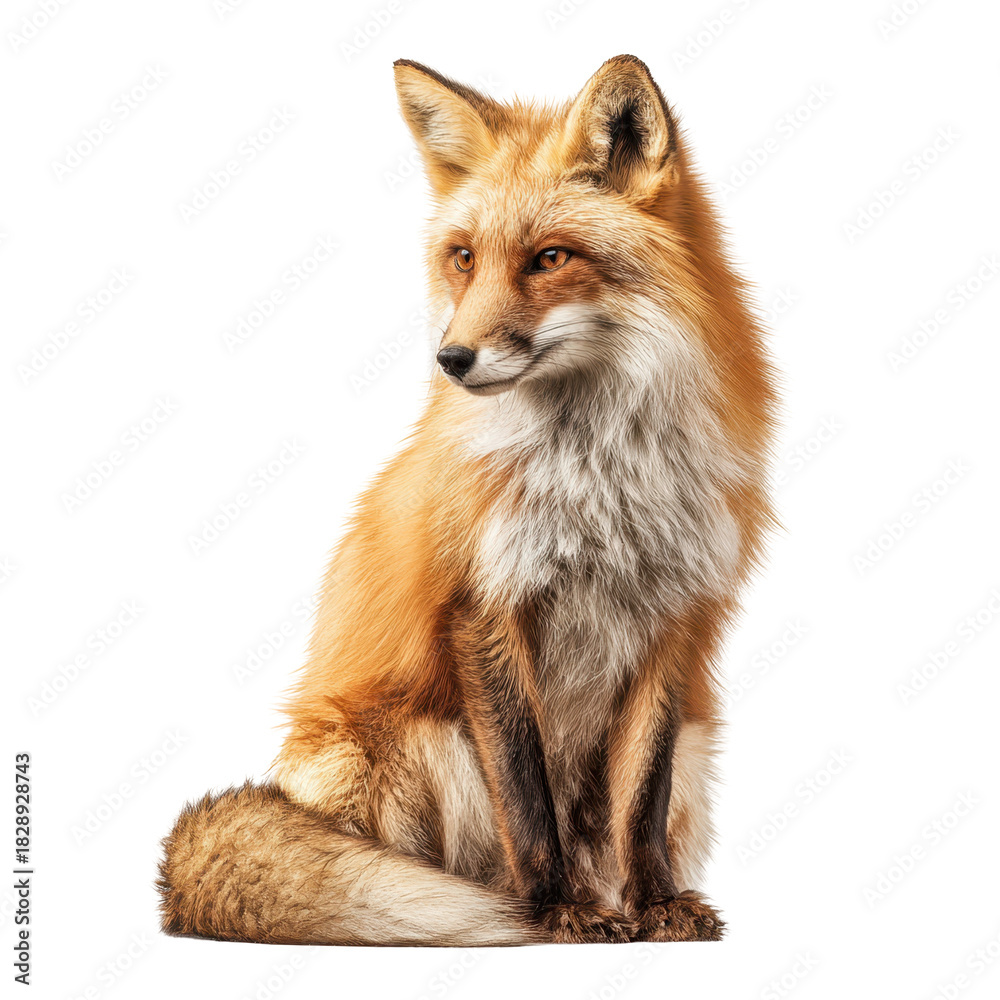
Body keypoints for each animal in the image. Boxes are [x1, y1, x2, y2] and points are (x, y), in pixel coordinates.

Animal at [158, 54, 776, 946]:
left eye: (549, 258)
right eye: (462, 257)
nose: (450, 359)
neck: (598, 477)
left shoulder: (674, 616)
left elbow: (641, 801)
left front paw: (655, 904)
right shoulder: (483, 604)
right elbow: (526, 792)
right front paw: (556, 909)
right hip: (416, 740)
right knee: (447, 862)